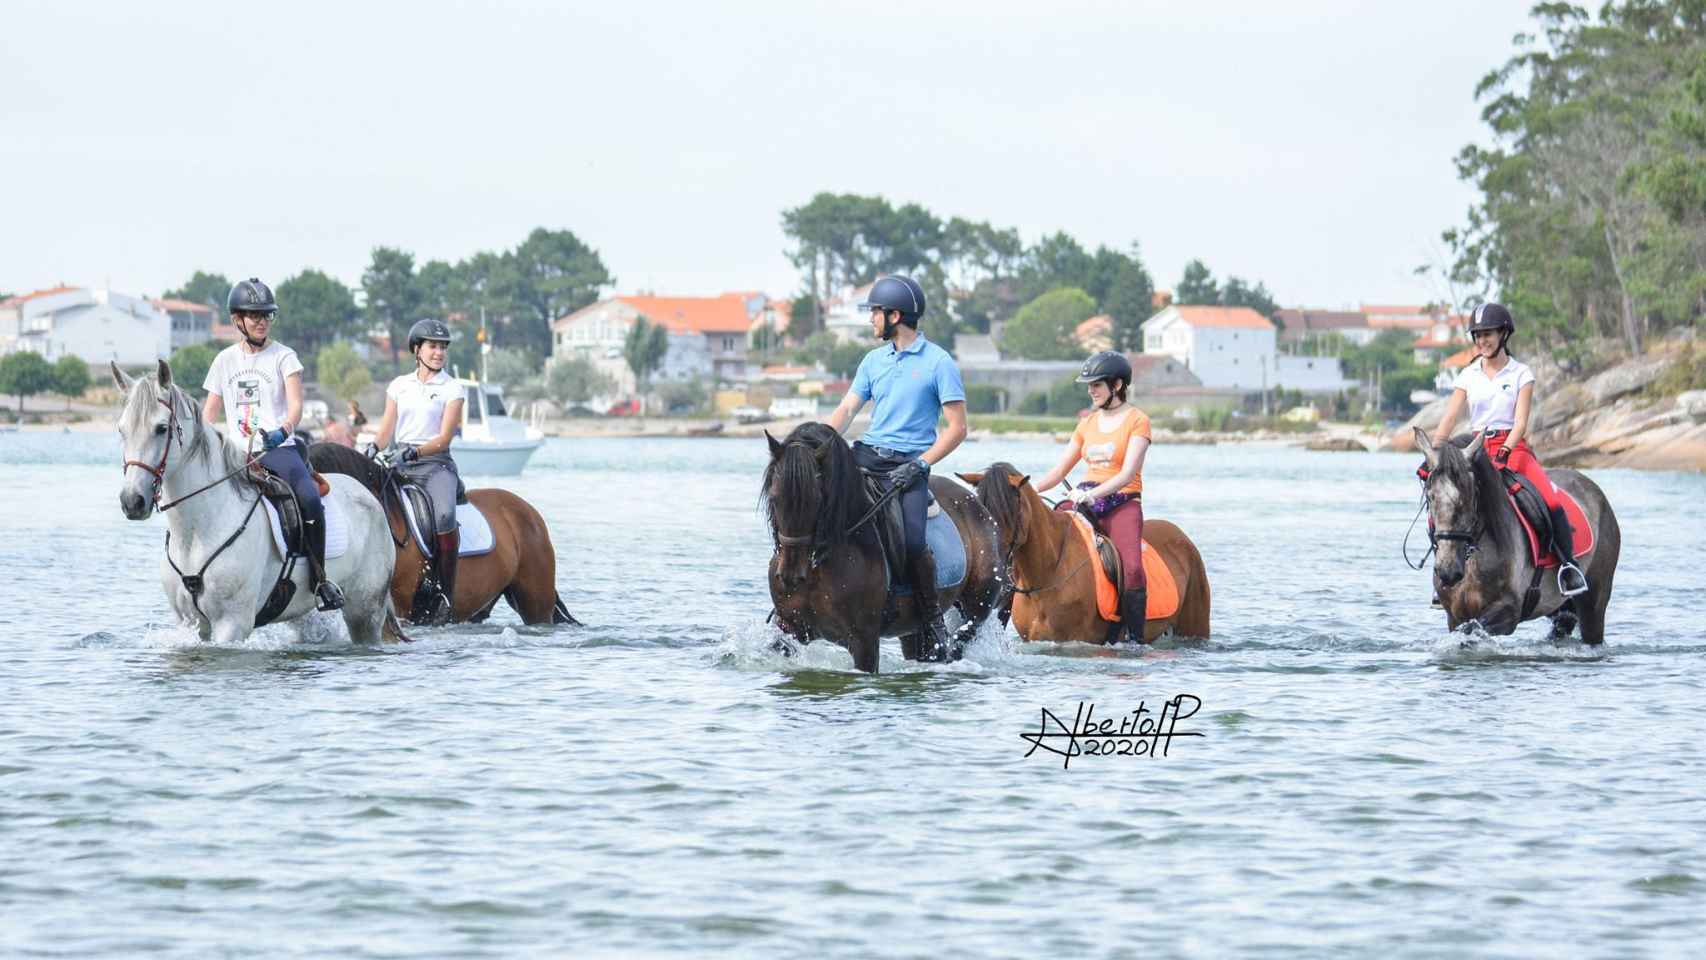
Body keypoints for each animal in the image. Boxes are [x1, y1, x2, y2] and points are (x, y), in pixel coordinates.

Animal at [116, 361, 402, 644]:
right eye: (122, 430)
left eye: (161, 428)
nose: (132, 501)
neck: (197, 531)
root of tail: (368, 495)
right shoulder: (189, 622)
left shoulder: (232, 624)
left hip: (365, 612)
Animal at [1419, 429, 1617, 644]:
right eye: (1430, 497)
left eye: (1470, 496)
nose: (1448, 571)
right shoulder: (1455, 616)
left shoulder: (1509, 612)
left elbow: (1472, 629)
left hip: (1593, 603)